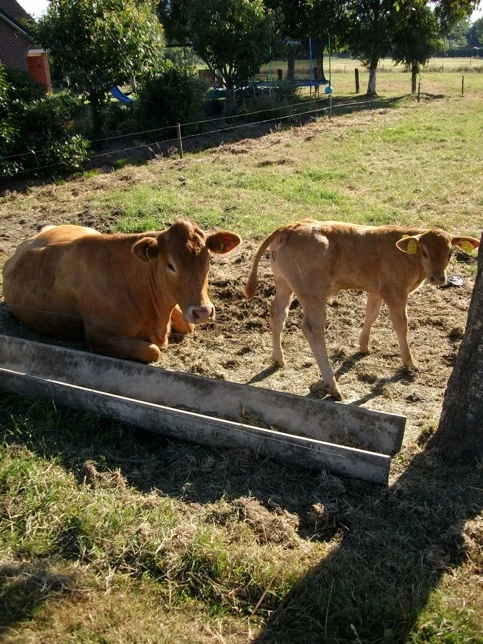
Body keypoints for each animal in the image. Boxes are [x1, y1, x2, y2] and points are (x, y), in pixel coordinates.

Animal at [3, 220, 241, 362]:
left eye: (208, 260)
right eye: (171, 265)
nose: (203, 312)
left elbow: (186, 325)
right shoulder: (100, 337)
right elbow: (152, 350)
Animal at [245, 219, 480, 400]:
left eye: (450, 253)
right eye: (424, 252)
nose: (438, 278)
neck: (404, 253)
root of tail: (292, 227)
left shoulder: (376, 290)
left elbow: (371, 313)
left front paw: (364, 345)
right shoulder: (395, 292)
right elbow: (401, 325)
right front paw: (410, 363)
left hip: (284, 283)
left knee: (278, 312)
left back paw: (278, 359)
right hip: (312, 292)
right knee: (313, 328)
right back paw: (333, 386)